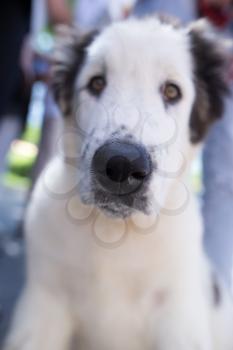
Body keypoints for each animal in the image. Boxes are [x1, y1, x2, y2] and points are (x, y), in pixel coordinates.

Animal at [4, 15, 233, 350]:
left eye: (172, 92)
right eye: (96, 83)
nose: (122, 165)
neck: (115, 235)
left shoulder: (178, 316)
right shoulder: (43, 304)